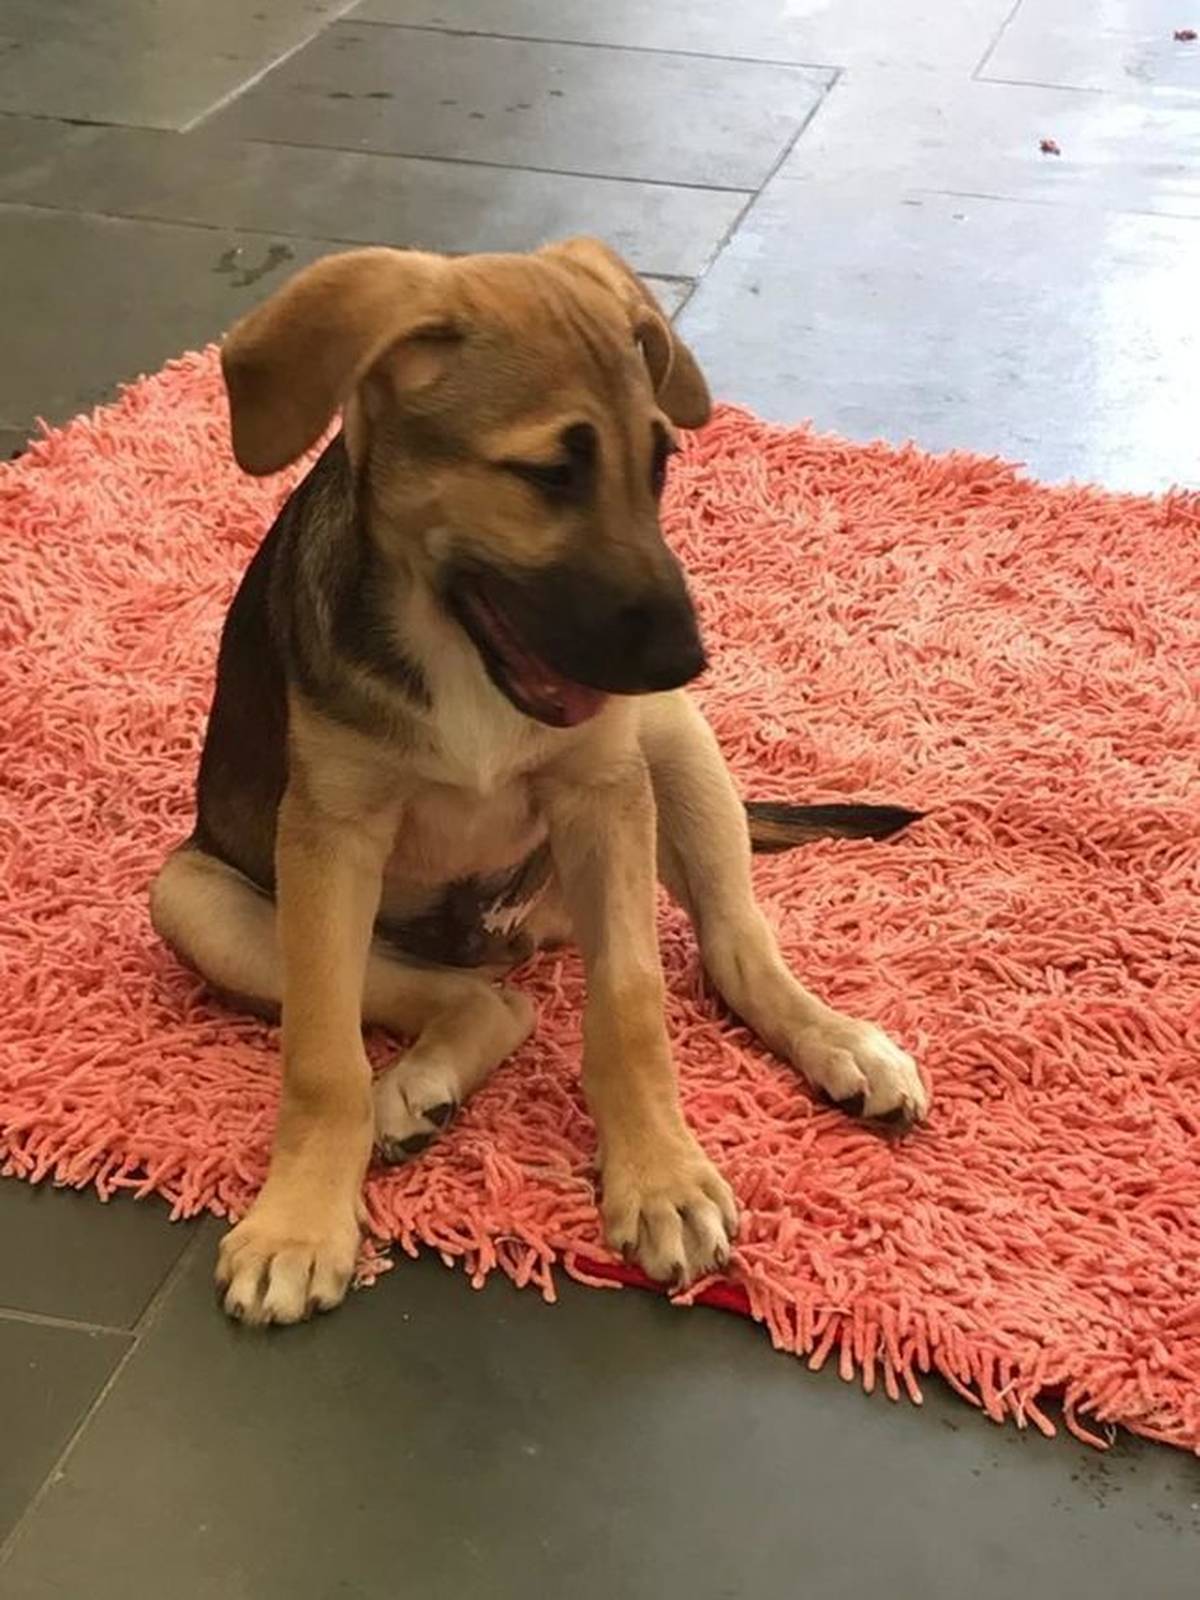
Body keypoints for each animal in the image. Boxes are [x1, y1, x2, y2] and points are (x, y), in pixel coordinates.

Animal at [150, 237, 928, 1326]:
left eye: (660, 462)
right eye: (549, 473)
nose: (690, 658)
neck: (461, 651)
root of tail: (513, 932)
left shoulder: (605, 795)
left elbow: (634, 1003)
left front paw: (660, 1177)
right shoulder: (328, 836)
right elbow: (322, 1052)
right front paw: (299, 1222)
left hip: (672, 749)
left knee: (734, 949)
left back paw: (843, 1044)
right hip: (195, 898)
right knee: (482, 1003)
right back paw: (414, 1090)